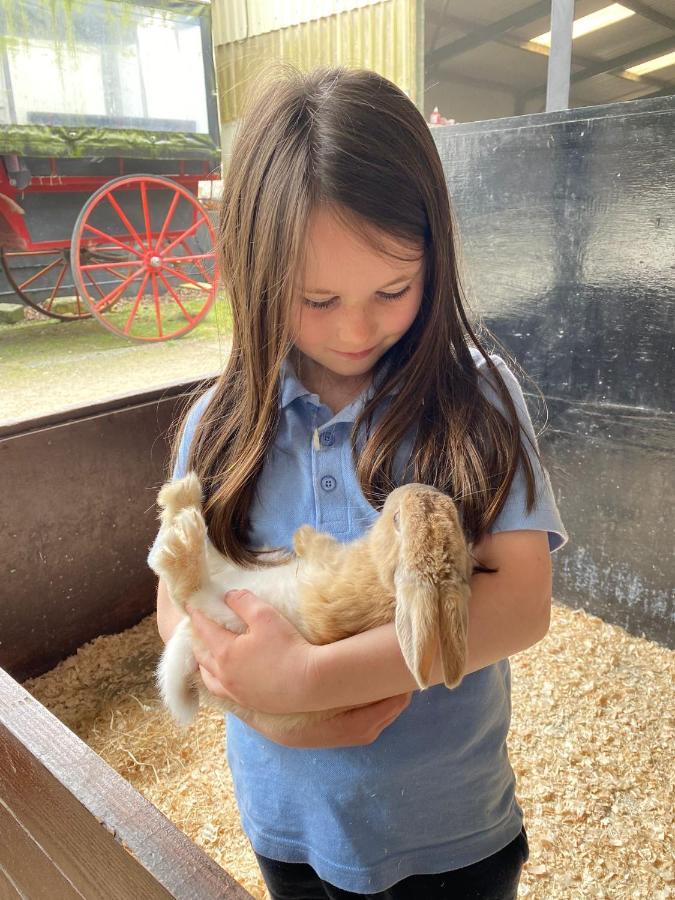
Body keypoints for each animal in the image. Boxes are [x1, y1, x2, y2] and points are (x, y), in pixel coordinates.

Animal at [150, 472, 472, 740]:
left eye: (397, 521)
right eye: (455, 519)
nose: (414, 486)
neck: (381, 577)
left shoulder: (331, 565)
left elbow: (319, 547)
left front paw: (302, 534)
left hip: (232, 611)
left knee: (187, 590)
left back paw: (183, 529)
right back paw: (184, 496)